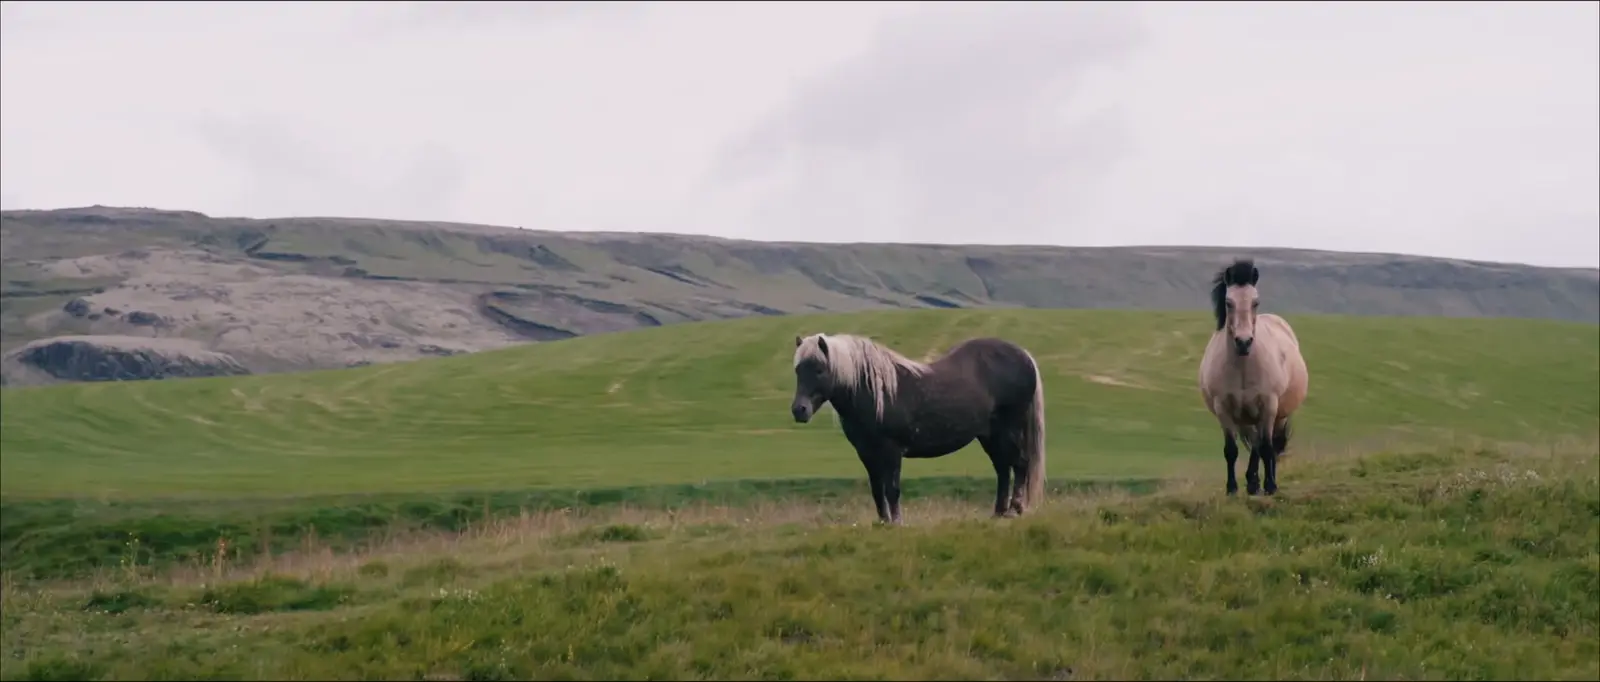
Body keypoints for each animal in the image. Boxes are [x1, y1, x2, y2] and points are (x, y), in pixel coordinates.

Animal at [789, 332, 1048, 524]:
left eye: (820, 369)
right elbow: (877, 489)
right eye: (798, 369)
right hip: (990, 436)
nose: (799, 410)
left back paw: (1014, 510)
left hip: (1009, 429)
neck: (875, 392)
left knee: (1020, 463)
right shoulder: (866, 453)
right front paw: (883, 522)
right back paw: (998, 513)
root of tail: (1024, 355)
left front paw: (896, 523)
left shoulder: (892, 451)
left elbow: (892, 488)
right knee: (1003, 469)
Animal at [1197, 258, 1310, 496]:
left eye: (1255, 302)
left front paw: (1270, 486)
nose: (1243, 342)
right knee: (1255, 444)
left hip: (1277, 415)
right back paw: (1251, 483)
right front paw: (1232, 488)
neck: (1243, 366)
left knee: (1268, 444)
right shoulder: (1224, 409)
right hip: (1245, 418)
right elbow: (1231, 450)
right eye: (1228, 302)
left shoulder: (1268, 406)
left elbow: (1267, 447)